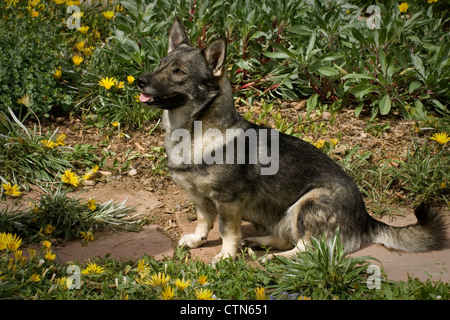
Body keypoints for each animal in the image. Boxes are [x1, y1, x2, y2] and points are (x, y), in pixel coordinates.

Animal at [138, 16, 446, 264]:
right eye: (161, 65)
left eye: (179, 72)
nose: (139, 79)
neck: (193, 133)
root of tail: (367, 220)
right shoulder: (200, 198)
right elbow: (204, 222)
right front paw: (198, 239)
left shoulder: (227, 202)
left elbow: (227, 231)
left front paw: (226, 256)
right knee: (289, 238)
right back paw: (260, 243)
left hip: (307, 205)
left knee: (309, 249)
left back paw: (275, 258)